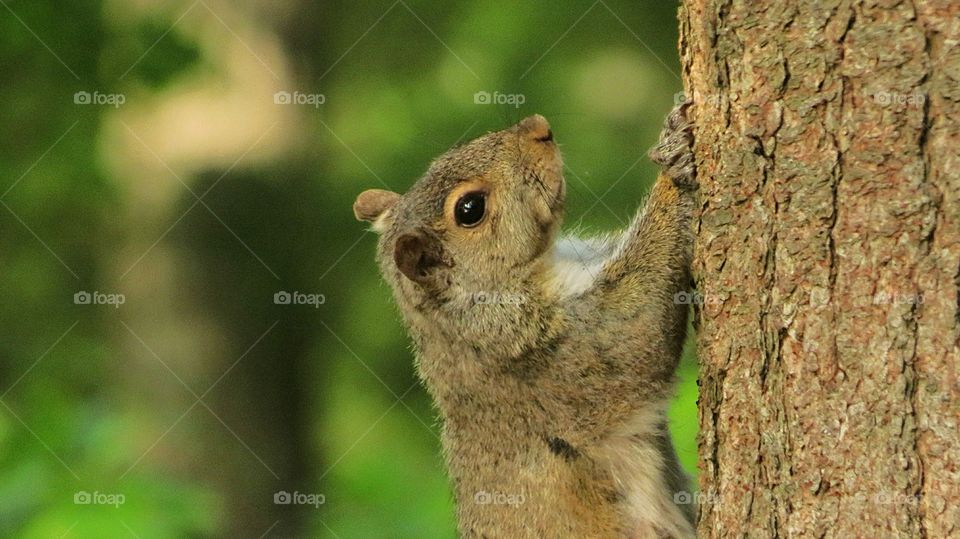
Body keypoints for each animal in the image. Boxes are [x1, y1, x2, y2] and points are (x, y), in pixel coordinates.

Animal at [353, 102, 697, 538]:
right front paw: (675, 166)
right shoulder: (551, 357)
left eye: (441, 157)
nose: (538, 128)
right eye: (469, 209)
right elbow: (638, 326)